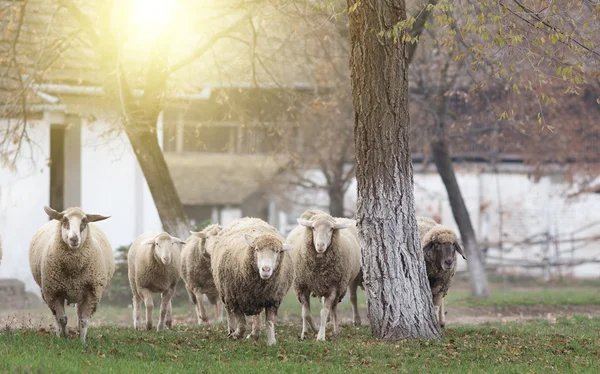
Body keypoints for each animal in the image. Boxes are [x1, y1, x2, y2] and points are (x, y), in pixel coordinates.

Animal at [28, 206, 115, 344]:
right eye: (64, 220)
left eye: (84, 221)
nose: (74, 239)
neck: (73, 268)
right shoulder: (54, 293)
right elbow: (62, 319)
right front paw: (65, 337)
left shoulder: (92, 293)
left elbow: (83, 320)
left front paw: (82, 342)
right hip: (47, 292)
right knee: (56, 317)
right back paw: (59, 334)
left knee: (79, 316)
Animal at [286, 212, 360, 340]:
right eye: (313, 228)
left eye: (331, 229)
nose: (320, 245)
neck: (319, 271)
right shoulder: (302, 286)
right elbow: (307, 314)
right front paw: (313, 330)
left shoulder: (333, 288)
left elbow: (324, 312)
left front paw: (321, 336)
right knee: (304, 312)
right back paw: (305, 332)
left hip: (340, 287)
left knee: (334, 309)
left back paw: (335, 330)